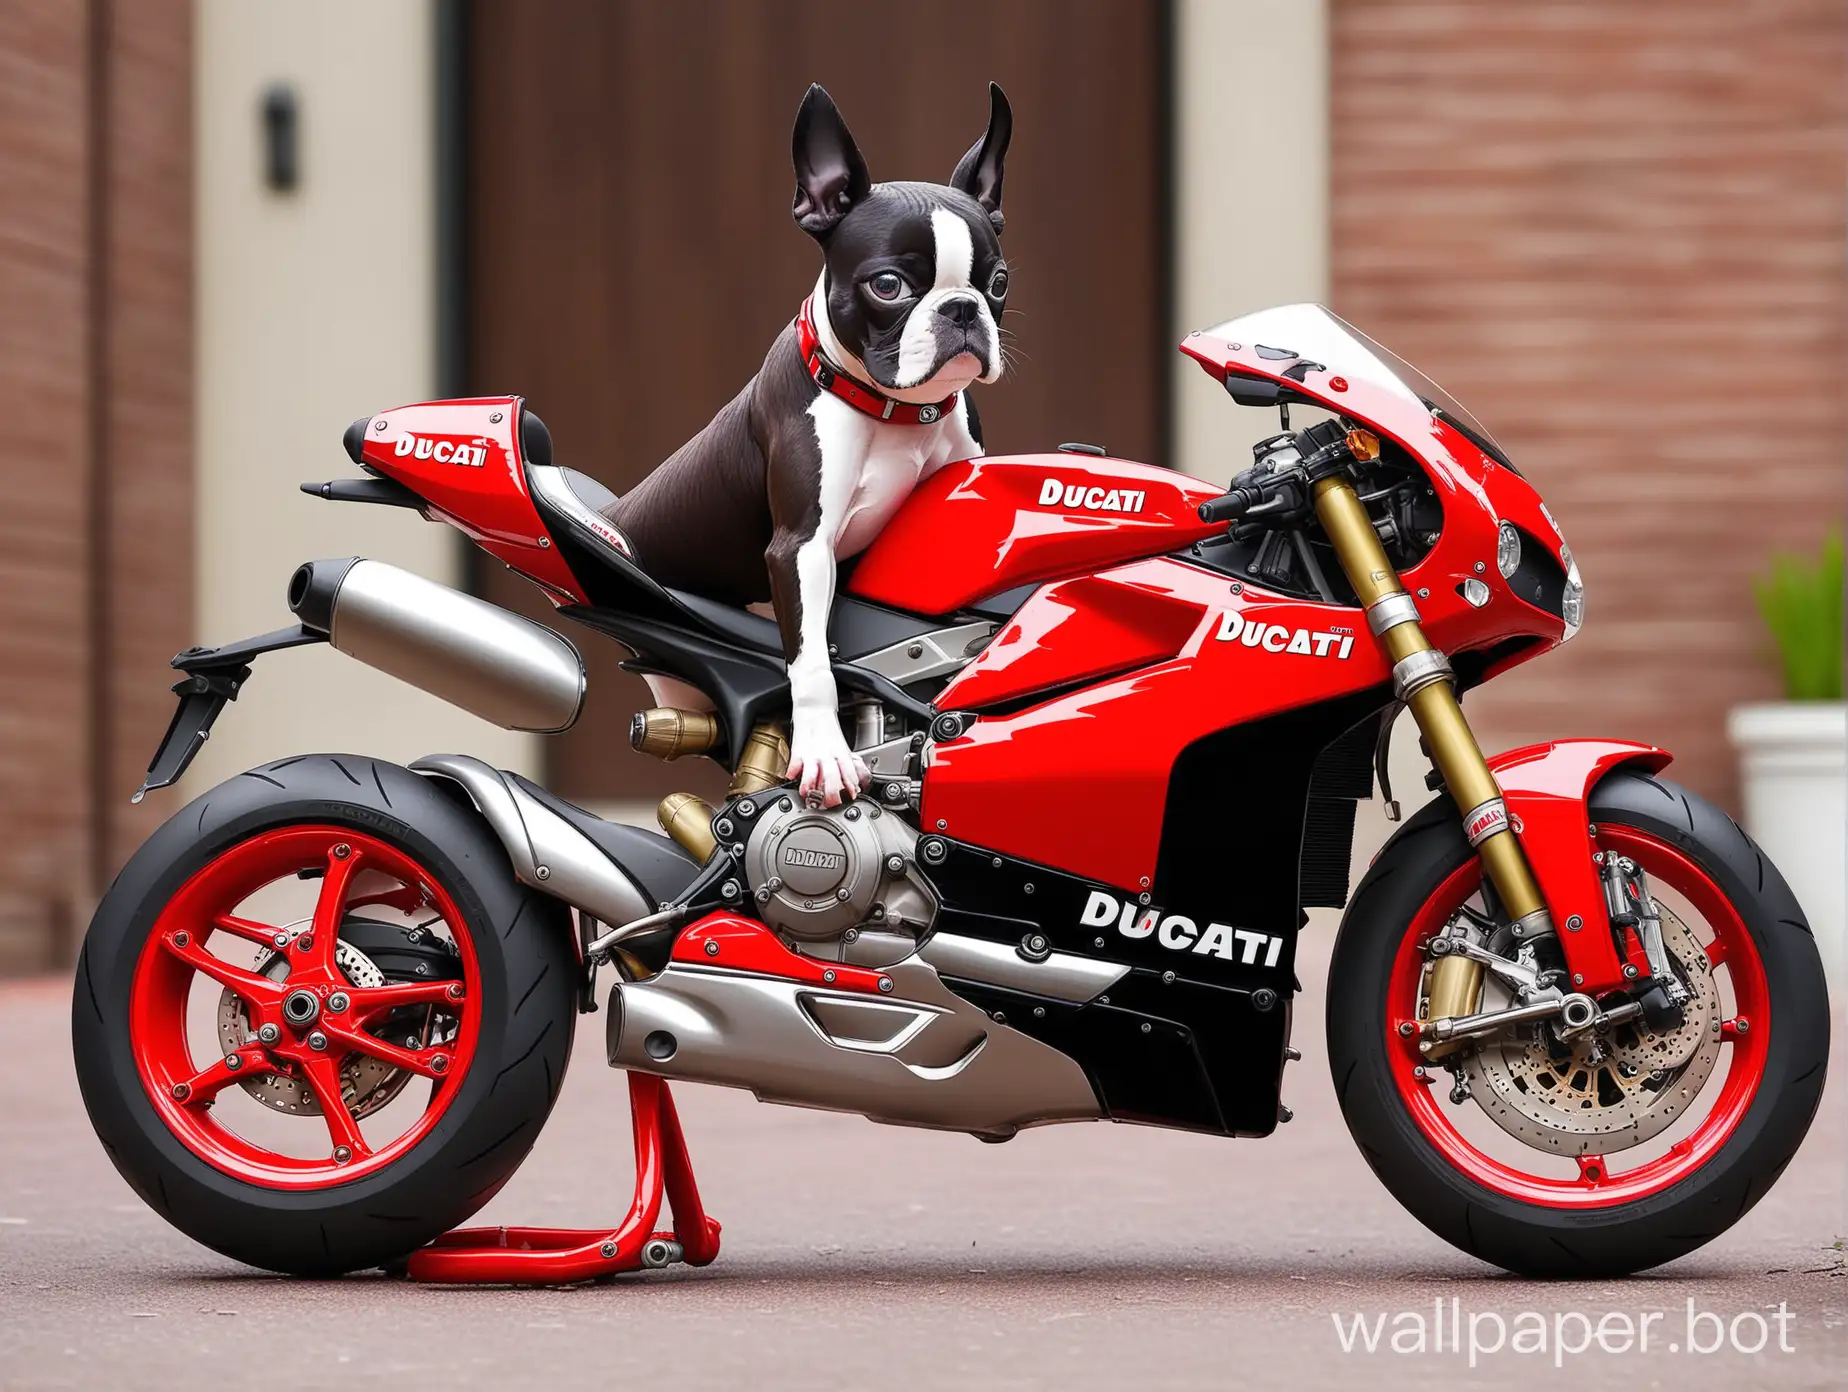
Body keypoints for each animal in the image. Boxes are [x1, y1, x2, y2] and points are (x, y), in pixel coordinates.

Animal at [602, 84, 1012, 802]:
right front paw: (825, 750)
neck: (895, 415)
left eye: (998, 283)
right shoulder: (801, 549)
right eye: (887, 285)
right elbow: (814, 663)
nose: (962, 309)